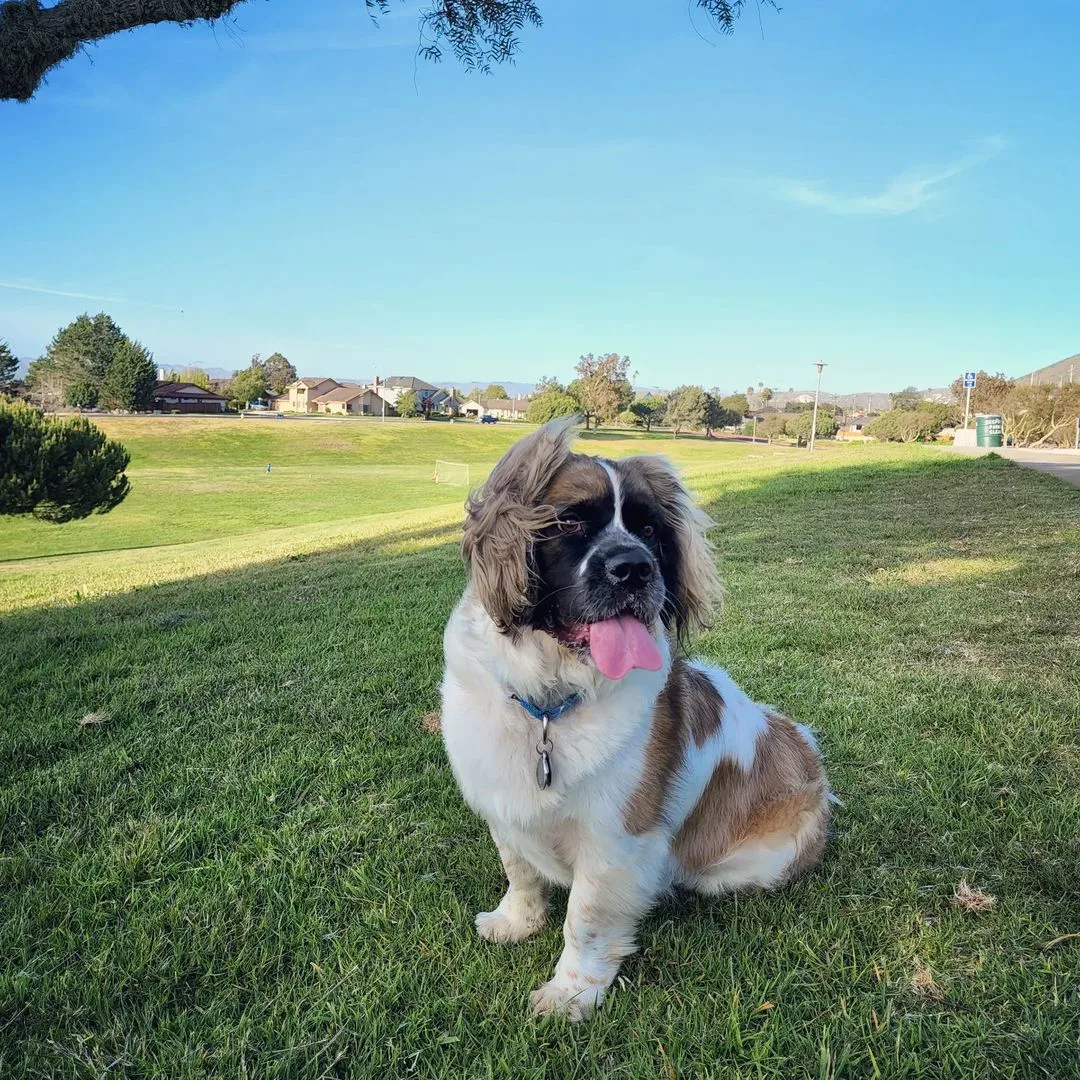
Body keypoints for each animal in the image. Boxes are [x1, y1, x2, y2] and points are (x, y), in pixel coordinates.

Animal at [438, 416, 825, 1015]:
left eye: (648, 529)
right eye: (570, 521)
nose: (636, 567)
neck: (549, 703)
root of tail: (808, 751)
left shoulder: (614, 838)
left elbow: (586, 917)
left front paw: (570, 994)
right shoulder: (502, 805)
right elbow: (519, 868)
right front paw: (516, 922)